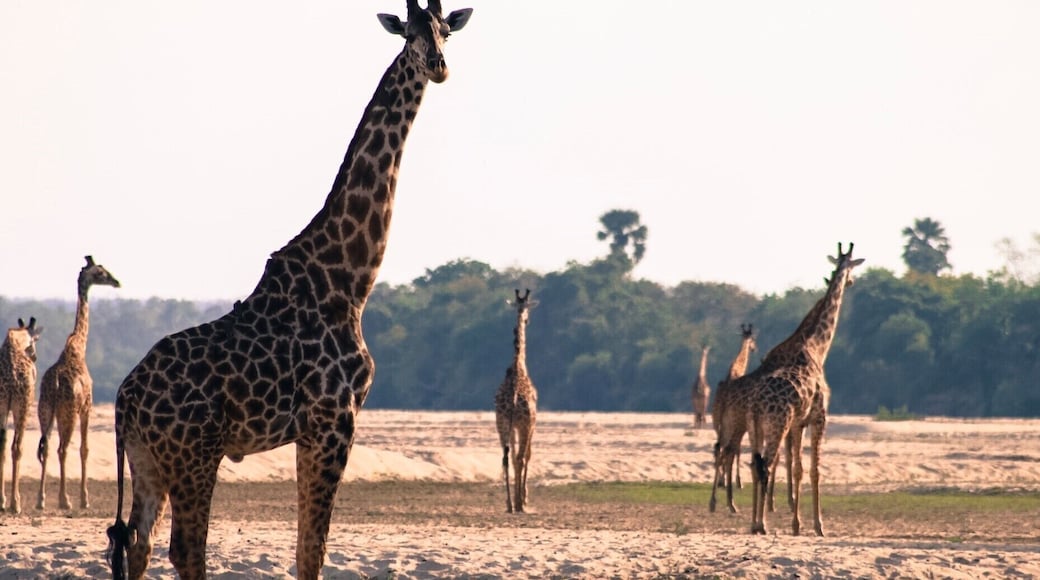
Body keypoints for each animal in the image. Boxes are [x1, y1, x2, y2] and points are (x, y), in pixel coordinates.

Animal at [36, 255, 120, 511]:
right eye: (101, 272)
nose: (117, 282)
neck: (78, 348)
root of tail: (54, 384)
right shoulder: (87, 407)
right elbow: (84, 449)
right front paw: (85, 499)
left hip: (44, 410)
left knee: (46, 447)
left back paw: (41, 500)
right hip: (69, 412)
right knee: (62, 448)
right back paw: (65, 500)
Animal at [105, 3, 474, 578]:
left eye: (446, 31)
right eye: (410, 34)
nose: (437, 65)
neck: (350, 280)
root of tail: (125, 399)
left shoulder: (316, 427)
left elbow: (307, 546)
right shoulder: (333, 419)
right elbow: (312, 549)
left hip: (149, 460)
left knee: (136, 543)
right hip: (195, 454)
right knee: (184, 547)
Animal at [745, 242, 863, 536]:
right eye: (852, 267)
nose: (851, 281)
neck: (817, 349)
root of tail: (756, 402)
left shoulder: (799, 423)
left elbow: (797, 468)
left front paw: (797, 524)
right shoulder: (820, 418)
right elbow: (814, 470)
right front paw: (819, 526)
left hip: (756, 426)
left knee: (755, 463)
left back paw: (754, 523)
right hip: (777, 424)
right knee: (766, 465)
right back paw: (761, 524)